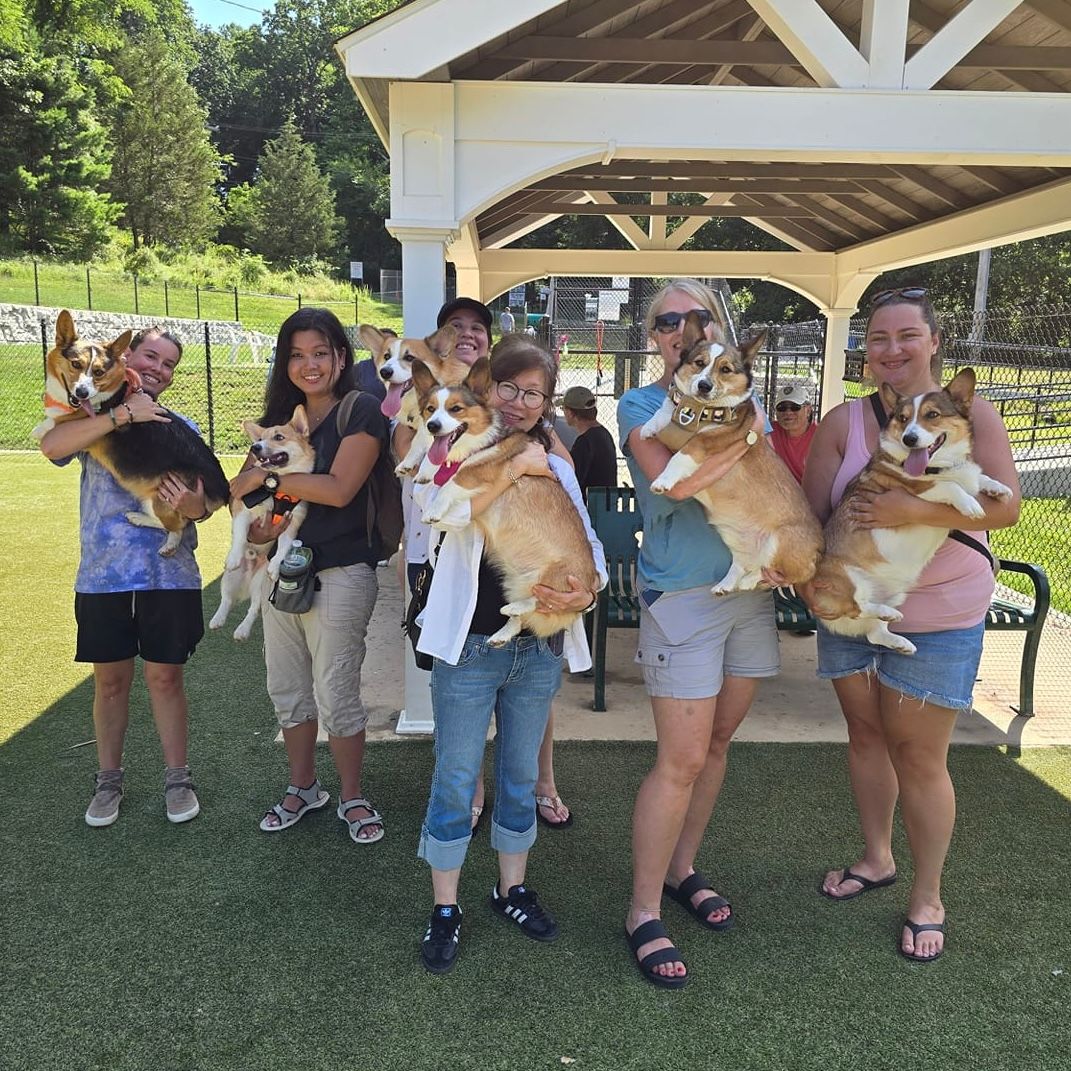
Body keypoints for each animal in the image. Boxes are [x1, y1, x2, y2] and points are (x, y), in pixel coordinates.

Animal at [37, 310, 228, 556]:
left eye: (98, 372)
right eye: (75, 364)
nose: (82, 392)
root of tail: (224, 490)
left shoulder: (83, 422)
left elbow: (57, 419)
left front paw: (41, 428)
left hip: (163, 499)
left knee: (177, 526)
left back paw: (166, 542)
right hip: (150, 496)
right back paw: (138, 518)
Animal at [411, 357, 599, 642]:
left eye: (456, 409)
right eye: (430, 409)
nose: (433, 425)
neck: (476, 443)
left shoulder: (485, 468)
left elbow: (456, 478)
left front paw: (433, 509)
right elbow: (438, 467)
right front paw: (423, 471)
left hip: (558, 576)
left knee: (541, 599)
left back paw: (514, 608)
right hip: (513, 583)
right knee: (523, 618)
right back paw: (502, 633)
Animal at [638, 310, 822, 595]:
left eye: (725, 369)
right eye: (699, 363)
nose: (704, 385)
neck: (699, 411)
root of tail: (819, 554)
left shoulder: (706, 442)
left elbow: (682, 455)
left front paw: (663, 481)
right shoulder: (674, 414)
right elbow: (662, 413)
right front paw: (648, 428)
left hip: (779, 541)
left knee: (778, 572)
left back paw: (748, 581)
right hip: (734, 538)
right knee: (743, 564)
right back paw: (726, 584)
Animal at [809, 368, 1011, 651]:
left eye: (932, 415)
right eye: (903, 419)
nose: (909, 438)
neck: (938, 465)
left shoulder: (965, 473)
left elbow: (978, 477)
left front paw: (997, 488)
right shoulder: (915, 489)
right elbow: (949, 486)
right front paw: (970, 504)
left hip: (896, 592)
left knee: (874, 632)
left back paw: (897, 639)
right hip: (848, 578)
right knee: (857, 606)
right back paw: (885, 612)